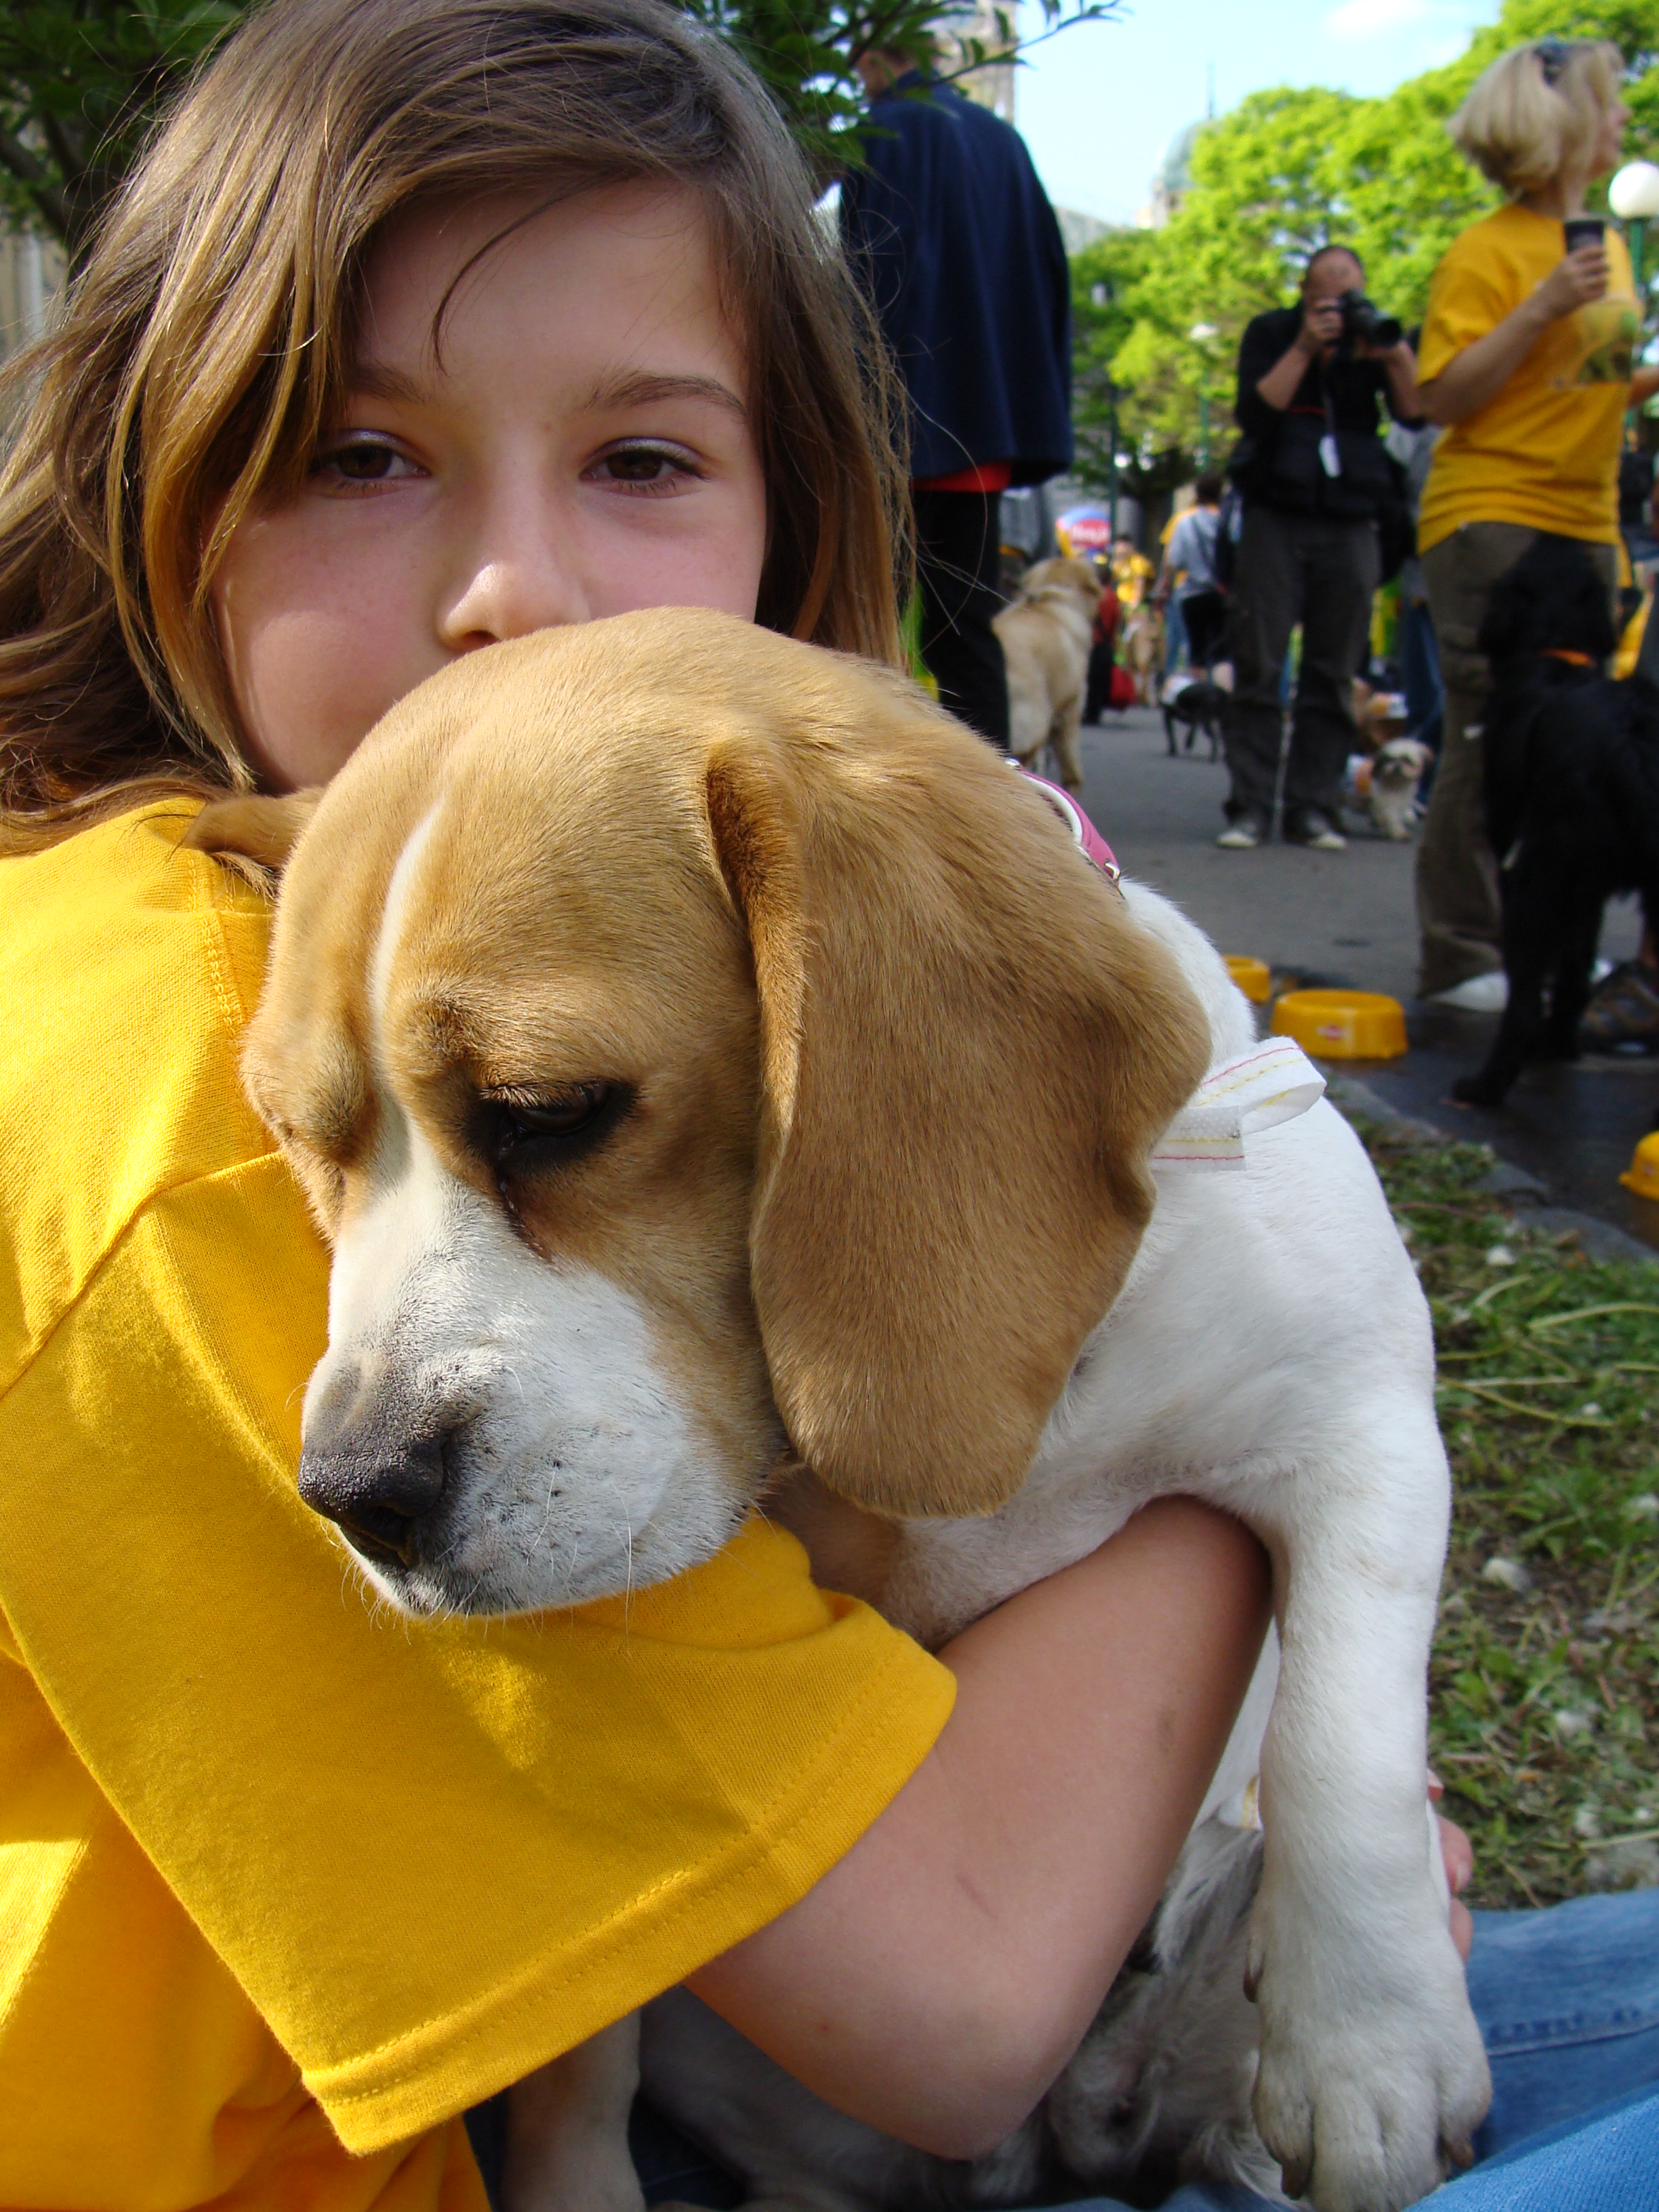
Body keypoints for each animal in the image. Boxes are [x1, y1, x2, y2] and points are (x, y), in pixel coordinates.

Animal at [194, 606, 1495, 2212]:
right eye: (299, 1140)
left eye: (552, 1112)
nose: (353, 1495)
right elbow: (587, 2054)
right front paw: (576, 2176)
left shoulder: (1357, 1401)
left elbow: (1344, 1729)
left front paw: (1371, 2044)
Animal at [1451, 533, 1659, 1115]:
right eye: (1569, 557)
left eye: (1518, 567)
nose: (1555, 532)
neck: (1556, 657)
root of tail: (1633, 731)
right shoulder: (1586, 887)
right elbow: (1575, 967)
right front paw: (1562, 1042)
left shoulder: (1521, 856)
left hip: (1536, 878)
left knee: (1522, 999)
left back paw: (1485, 1086)